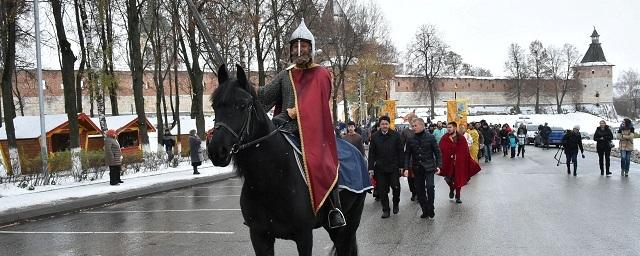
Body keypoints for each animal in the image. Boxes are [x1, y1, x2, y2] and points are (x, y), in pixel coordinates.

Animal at [209, 64, 364, 256]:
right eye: (214, 106)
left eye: (242, 105)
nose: (216, 151)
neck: (270, 179)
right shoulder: (259, 236)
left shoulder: (304, 236)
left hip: (349, 223)